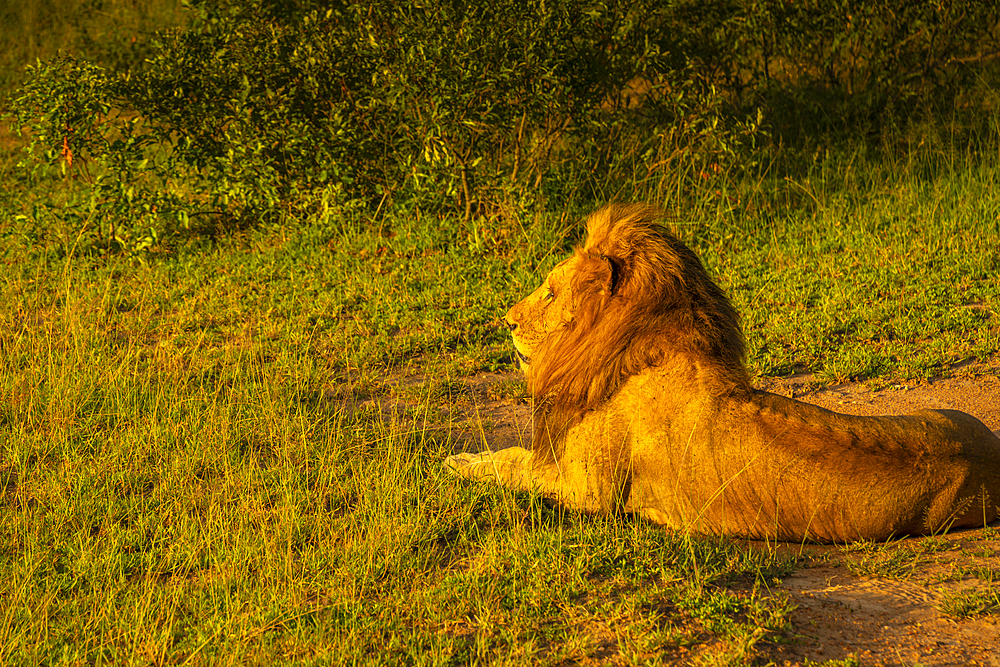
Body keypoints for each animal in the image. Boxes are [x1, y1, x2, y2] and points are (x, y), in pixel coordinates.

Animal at [450, 202, 1000, 544]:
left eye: (548, 292)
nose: (507, 319)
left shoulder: (587, 493)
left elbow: (515, 466)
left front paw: (459, 463)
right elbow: (514, 458)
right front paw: (470, 458)